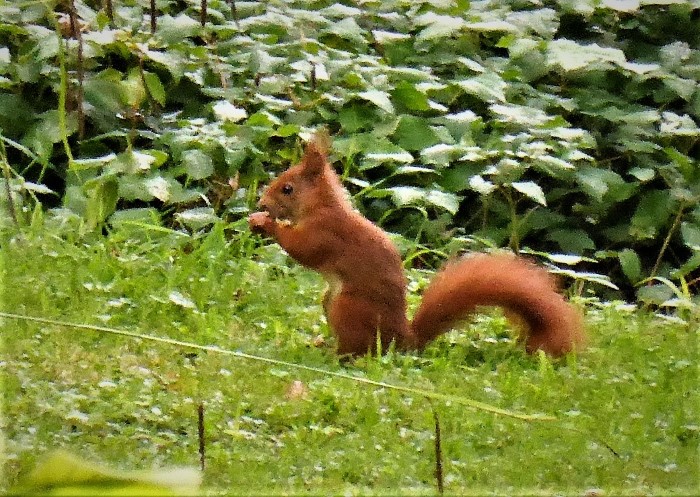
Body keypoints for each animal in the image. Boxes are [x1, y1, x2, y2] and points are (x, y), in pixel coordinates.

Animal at [247, 135, 584, 356]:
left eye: (287, 188)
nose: (262, 203)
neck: (320, 206)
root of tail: (402, 340)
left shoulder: (327, 232)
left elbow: (305, 248)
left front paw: (266, 223)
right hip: (332, 303)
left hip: (349, 307)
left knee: (358, 350)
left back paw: (334, 354)